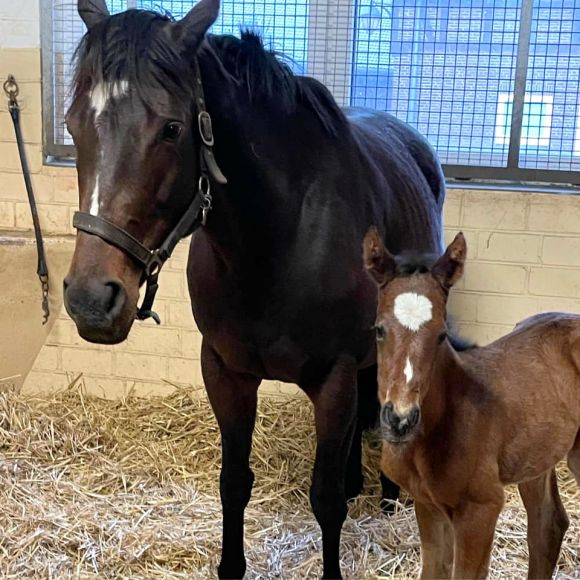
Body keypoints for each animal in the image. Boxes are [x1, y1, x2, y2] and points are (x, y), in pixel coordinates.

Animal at [364, 228, 576, 580]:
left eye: (441, 334)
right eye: (379, 330)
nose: (400, 419)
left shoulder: (481, 508)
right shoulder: (428, 504)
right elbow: (434, 570)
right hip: (537, 456)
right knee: (548, 525)